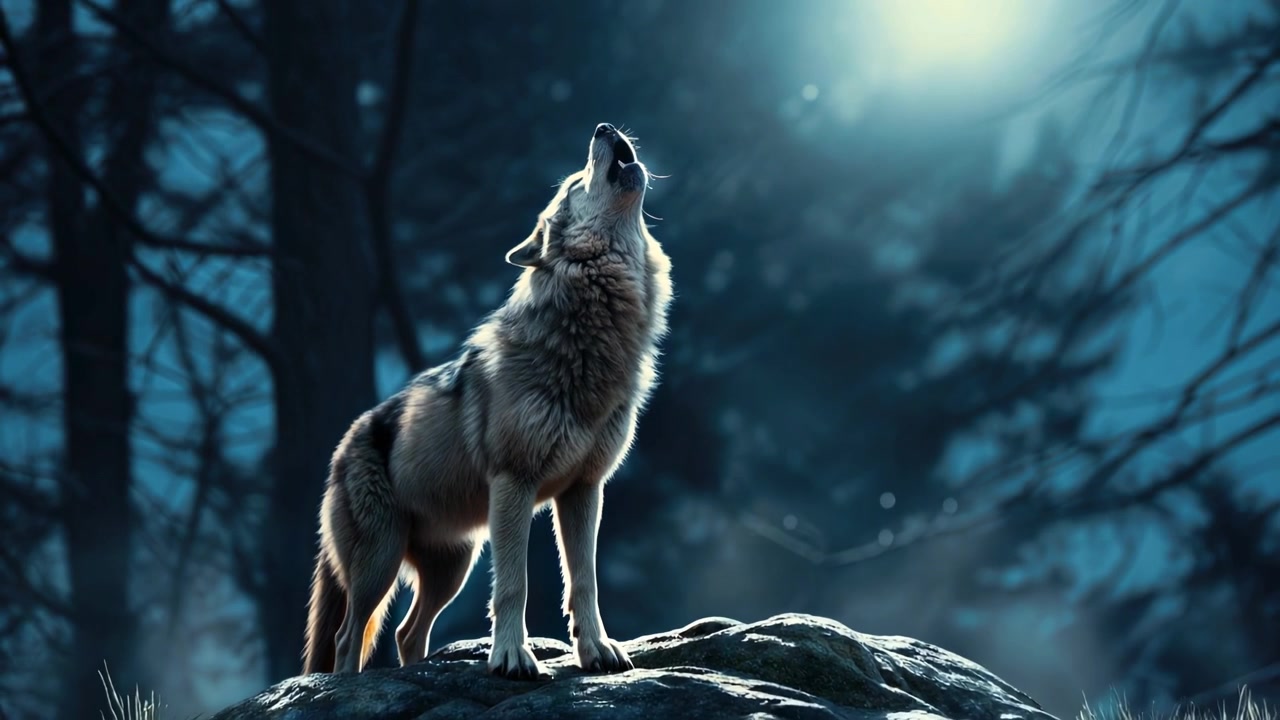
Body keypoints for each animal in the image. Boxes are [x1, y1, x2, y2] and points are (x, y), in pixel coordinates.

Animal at [301, 123, 672, 680]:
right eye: (574, 183)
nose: (604, 127)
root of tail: (343, 446)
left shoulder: (584, 489)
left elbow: (583, 581)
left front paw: (597, 652)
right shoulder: (513, 484)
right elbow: (514, 586)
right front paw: (512, 658)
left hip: (452, 566)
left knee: (408, 632)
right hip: (381, 562)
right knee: (349, 638)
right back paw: (350, 686)